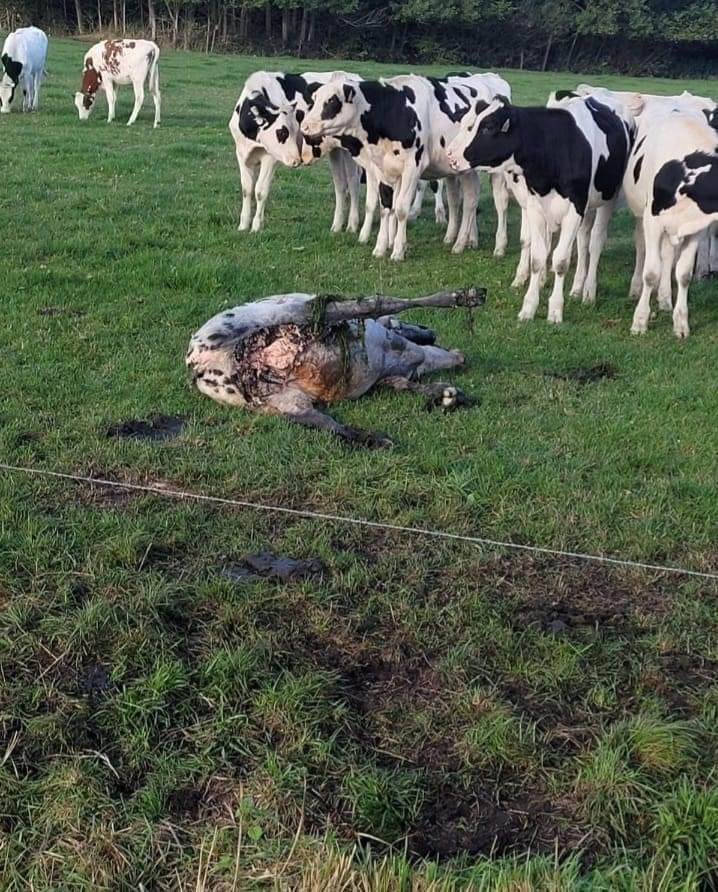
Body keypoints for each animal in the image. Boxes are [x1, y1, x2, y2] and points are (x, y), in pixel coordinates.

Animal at [186, 288, 485, 447]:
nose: (431, 333)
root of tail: (198, 362)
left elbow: (410, 384)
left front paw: (448, 395)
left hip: (281, 400)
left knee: (328, 424)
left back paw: (376, 440)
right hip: (301, 310)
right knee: (372, 304)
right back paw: (466, 297)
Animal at [300, 72, 512, 261]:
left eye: (331, 101)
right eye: (314, 99)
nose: (305, 126)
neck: (394, 110)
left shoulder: (412, 168)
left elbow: (401, 208)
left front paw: (397, 250)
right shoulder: (382, 168)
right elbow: (386, 207)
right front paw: (381, 247)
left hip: (498, 171)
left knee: (500, 204)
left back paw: (498, 246)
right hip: (463, 169)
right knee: (466, 200)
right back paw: (460, 240)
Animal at [447, 93, 633, 323]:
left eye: (488, 128)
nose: (451, 156)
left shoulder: (574, 210)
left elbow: (560, 261)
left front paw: (555, 311)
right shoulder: (536, 207)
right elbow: (537, 256)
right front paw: (529, 307)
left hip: (607, 198)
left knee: (595, 242)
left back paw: (589, 292)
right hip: (587, 206)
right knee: (582, 241)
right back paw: (577, 288)